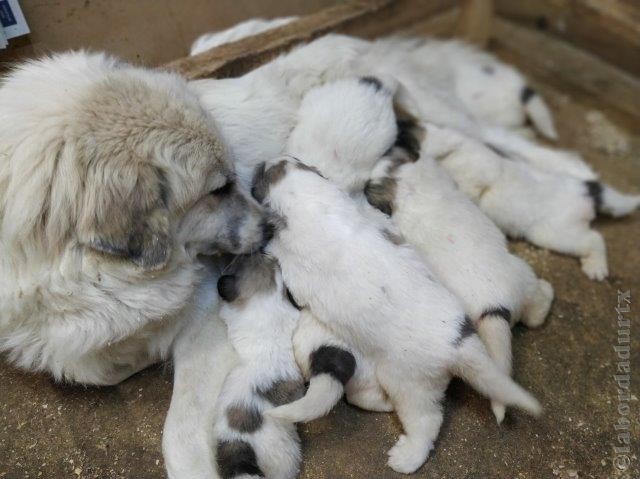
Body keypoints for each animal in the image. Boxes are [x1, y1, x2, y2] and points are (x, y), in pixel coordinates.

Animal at [252, 158, 544, 476]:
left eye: (261, 178)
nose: (265, 162)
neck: (319, 210)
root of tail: (459, 346)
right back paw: (540, 308)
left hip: (409, 384)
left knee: (426, 421)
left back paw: (407, 457)